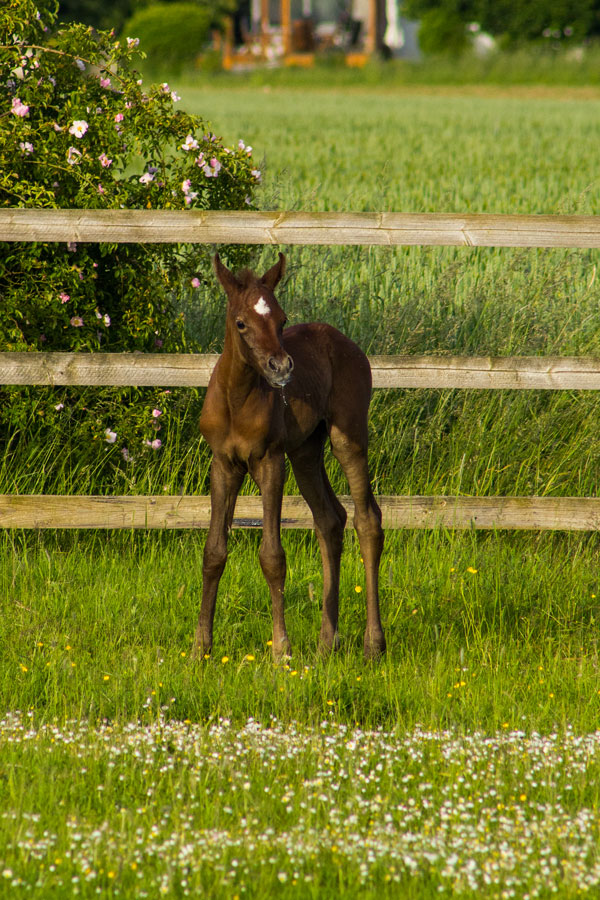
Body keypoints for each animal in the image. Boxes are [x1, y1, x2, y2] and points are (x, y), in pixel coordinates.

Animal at [195, 253, 386, 660]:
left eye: (282, 320)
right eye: (241, 323)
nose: (281, 367)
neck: (237, 401)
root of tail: (343, 339)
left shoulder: (270, 461)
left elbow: (272, 557)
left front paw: (281, 650)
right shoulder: (222, 463)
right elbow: (214, 552)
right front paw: (201, 647)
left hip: (347, 435)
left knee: (367, 521)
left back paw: (373, 643)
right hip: (306, 450)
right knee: (331, 520)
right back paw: (327, 642)